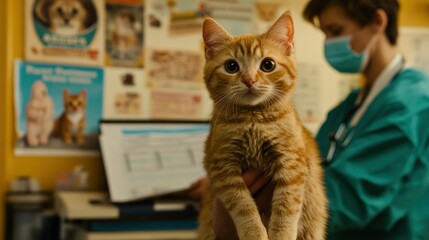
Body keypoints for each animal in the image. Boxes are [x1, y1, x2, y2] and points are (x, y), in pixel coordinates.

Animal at [199, 12, 326, 240]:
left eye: (268, 65)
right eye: (231, 67)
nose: (249, 80)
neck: (254, 119)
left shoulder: (292, 162)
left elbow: (286, 207)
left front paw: (282, 234)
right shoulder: (223, 166)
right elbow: (243, 206)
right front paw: (254, 233)